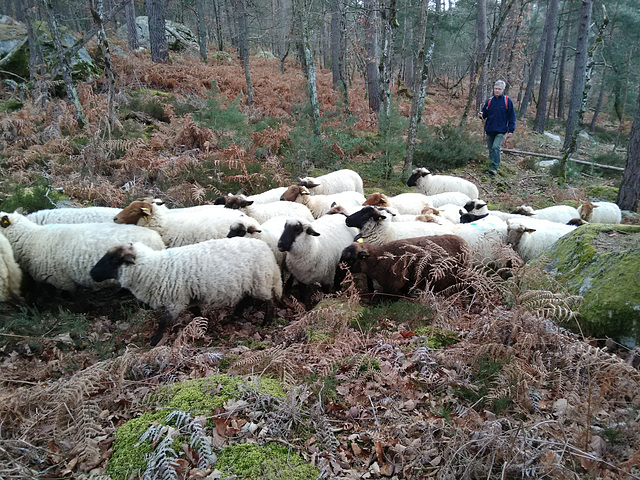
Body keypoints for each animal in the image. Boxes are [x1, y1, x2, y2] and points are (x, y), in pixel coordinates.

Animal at [90, 237, 282, 344]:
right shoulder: (189, 297)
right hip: (250, 283)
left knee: (269, 301)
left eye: (113, 260)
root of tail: (266, 248)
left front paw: (154, 342)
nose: (92, 273)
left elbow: (163, 323)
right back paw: (235, 315)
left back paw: (266, 321)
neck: (155, 269)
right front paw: (204, 327)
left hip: (260, 281)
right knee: (247, 299)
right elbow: (196, 313)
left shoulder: (175, 302)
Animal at [340, 235, 470, 298]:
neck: (378, 259)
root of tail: (464, 242)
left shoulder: (394, 284)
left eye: (350, 259)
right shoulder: (404, 282)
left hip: (461, 273)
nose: (340, 268)